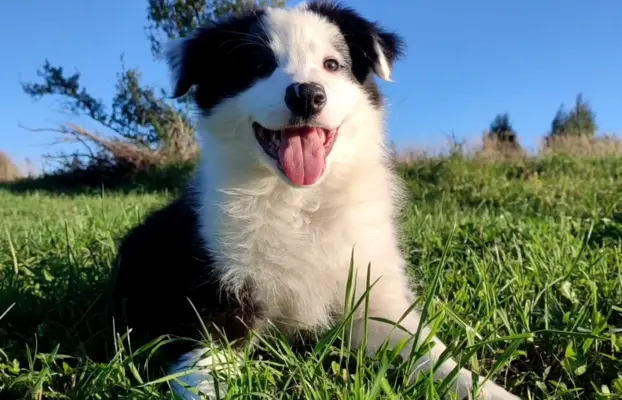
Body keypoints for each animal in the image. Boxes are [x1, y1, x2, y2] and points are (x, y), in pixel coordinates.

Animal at [111, 1, 520, 398]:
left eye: (332, 64)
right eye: (259, 66)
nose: (307, 94)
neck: (298, 202)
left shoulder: (372, 296)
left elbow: (435, 356)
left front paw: (489, 389)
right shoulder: (213, 308)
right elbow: (204, 374)